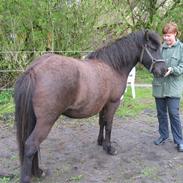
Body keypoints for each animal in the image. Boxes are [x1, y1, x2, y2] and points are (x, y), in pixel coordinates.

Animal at [14, 29, 166, 182]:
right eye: (153, 48)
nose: (164, 70)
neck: (113, 66)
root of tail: (34, 69)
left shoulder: (103, 104)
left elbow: (102, 123)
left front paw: (101, 142)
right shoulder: (113, 103)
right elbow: (109, 125)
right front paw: (109, 148)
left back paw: (38, 171)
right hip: (46, 121)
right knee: (31, 145)